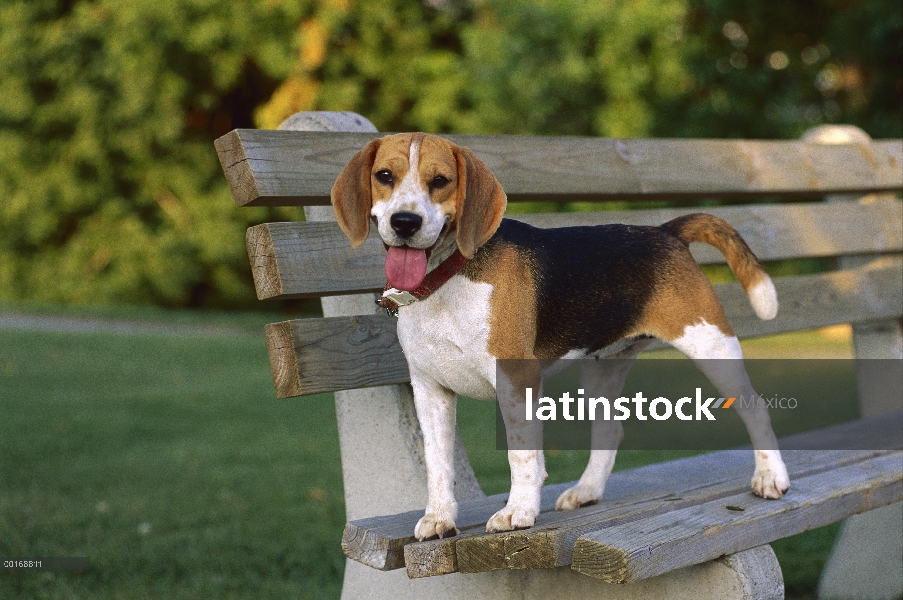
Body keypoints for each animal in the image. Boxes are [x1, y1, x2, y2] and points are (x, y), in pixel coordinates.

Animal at [332, 134, 792, 540]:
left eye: (441, 180)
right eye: (385, 175)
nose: (405, 223)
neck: (447, 280)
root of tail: (665, 232)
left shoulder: (515, 380)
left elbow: (522, 454)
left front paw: (518, 511)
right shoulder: (430, 390)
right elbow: (438, 464)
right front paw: (439, 519)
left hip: (711, 346)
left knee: (755, 409)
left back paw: (771, 478)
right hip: (602, 368)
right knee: (609, 432)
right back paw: (586, 491)